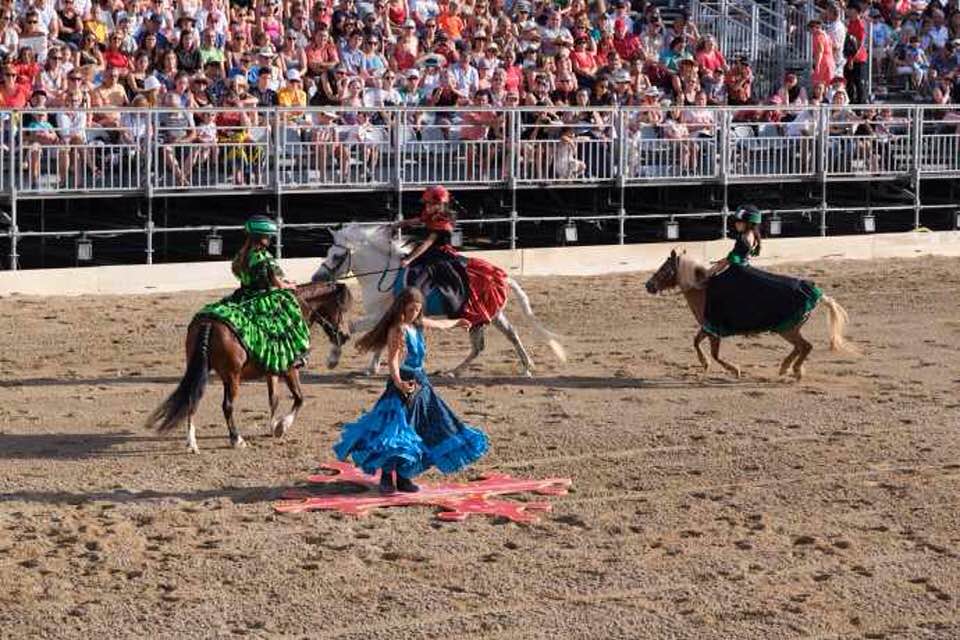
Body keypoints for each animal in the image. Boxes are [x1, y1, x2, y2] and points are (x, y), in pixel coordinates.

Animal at [142, 282, 352, 452]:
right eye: (341, 308)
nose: (345, 336)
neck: (296, 309)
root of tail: (208, 322)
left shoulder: (272, 370)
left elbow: (273, 399)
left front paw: (272, 427)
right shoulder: (290, 369)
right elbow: (299, 398)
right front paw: (281, 427)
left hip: (204, 372)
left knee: (192, 400)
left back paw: (192, 443)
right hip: (232, 377)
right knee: (227, 406)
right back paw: (236, 439)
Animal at [312, 224, 568, 378]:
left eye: (337, 256)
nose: (316, 278)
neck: (384, 274)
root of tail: (503, 276)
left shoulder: (380, 313)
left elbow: (353, 326)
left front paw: (334, 358)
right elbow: (382, 338)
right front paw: (371, 367)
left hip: (482, 315)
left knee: (488, 343)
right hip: (490, 315)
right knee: (505, 337)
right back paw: (522, 367)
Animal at [644, 250, 848, 380]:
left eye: (664, 268)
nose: (648, 285)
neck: (702, 289)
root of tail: (816, 293)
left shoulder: (713, 329)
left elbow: (715, 354)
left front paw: (734, 370)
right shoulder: (707, 328)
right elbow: (696, 342)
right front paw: (705, 364)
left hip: (787, 329)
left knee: (805, 346)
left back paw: (795, 371)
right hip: (789, 329)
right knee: (800, 347)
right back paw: (785, 368)